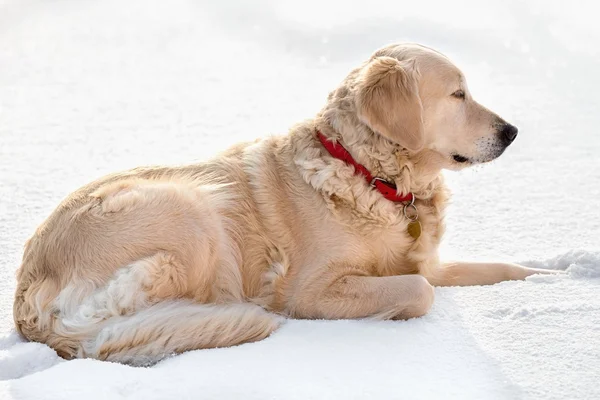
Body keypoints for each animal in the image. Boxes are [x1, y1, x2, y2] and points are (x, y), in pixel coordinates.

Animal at [11, 43, 556, 366]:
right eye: (458, 94)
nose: (512, 132)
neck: (372, 176)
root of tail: (27, 302)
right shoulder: (310, 291)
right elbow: (419, 290)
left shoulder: (431, 260)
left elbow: (496, 267)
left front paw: (548, 280)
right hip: (193, 209)